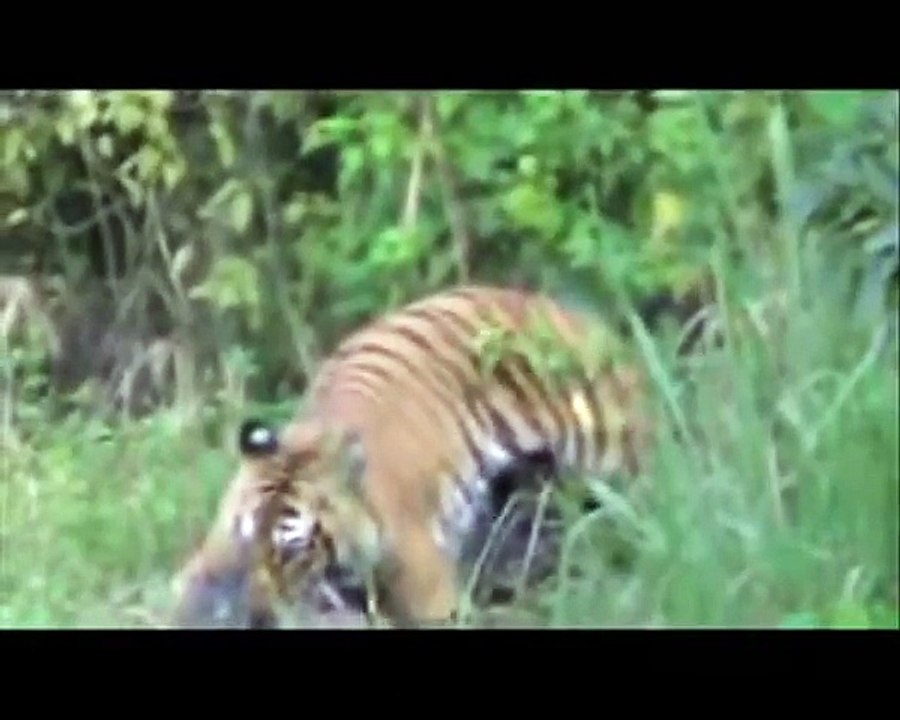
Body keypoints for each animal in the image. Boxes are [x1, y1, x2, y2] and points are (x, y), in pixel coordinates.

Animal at [172, 284, 653, 628]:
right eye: (246, 540)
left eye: (292, 551)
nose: (256, 615)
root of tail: (577, 320)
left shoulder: (424, 584)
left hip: (615, 469)